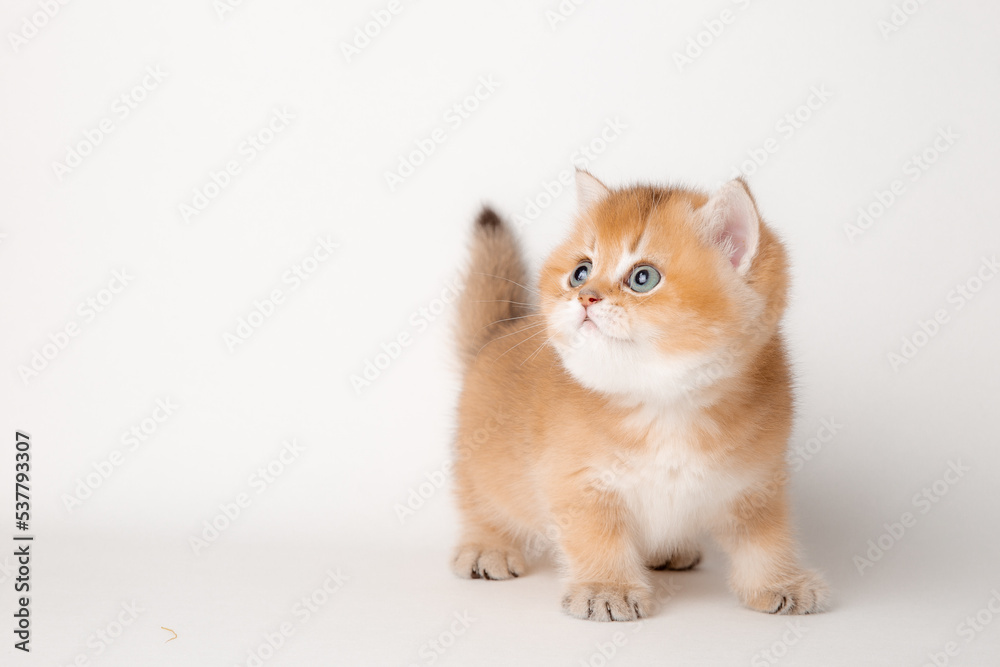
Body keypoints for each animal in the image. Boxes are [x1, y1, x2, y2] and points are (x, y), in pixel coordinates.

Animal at [454, 171, 828, 620]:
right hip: (482, 465)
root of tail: (499, 331)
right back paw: (486, 547)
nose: (586, 296)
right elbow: (598, 539)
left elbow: (766, 539)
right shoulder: (578, 485)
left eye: (642, 278)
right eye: (580, 272)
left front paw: (780, 583)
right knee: (482, 503)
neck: (667, 402)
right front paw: (606, 589)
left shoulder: (758, 481)